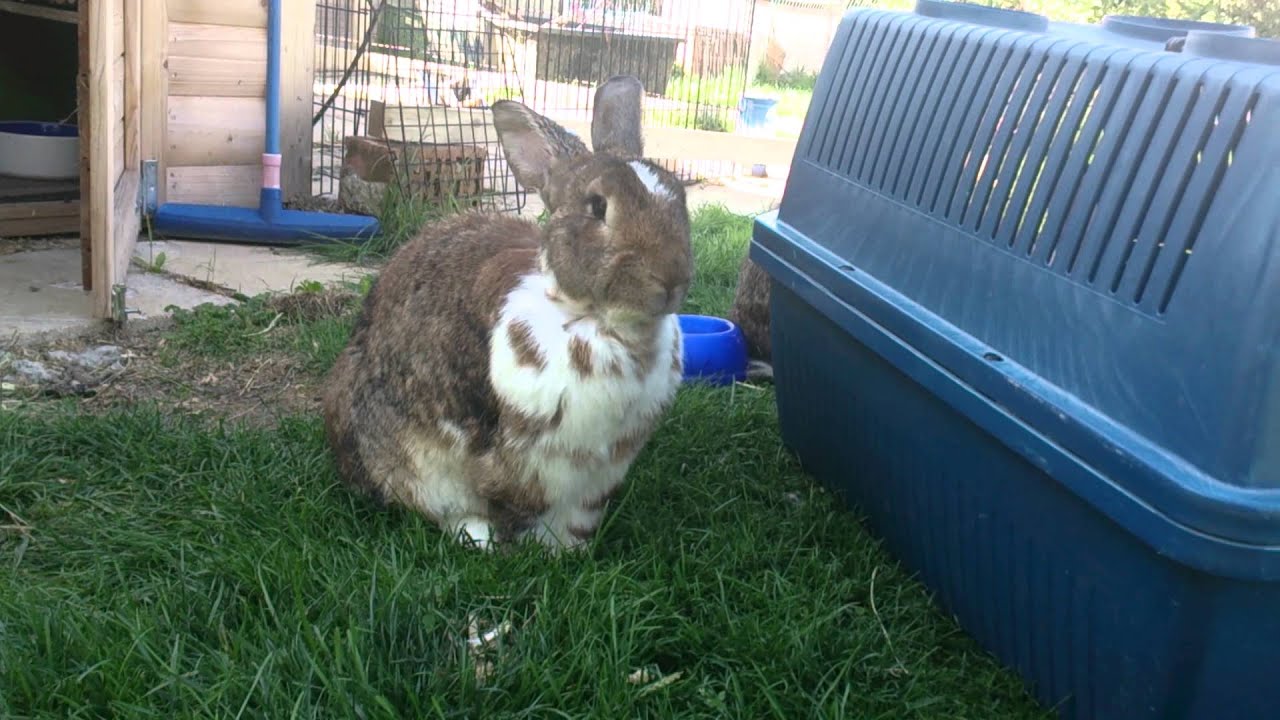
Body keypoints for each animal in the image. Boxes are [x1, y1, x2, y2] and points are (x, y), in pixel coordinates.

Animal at [322, 75, 693, 553]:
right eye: (597, 206)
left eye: (680, 196)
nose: (671, 279)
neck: (605, 324)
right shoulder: (517, 463)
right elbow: (507, 507)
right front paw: (508, 547)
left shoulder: (594, 482)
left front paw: (568, 553)